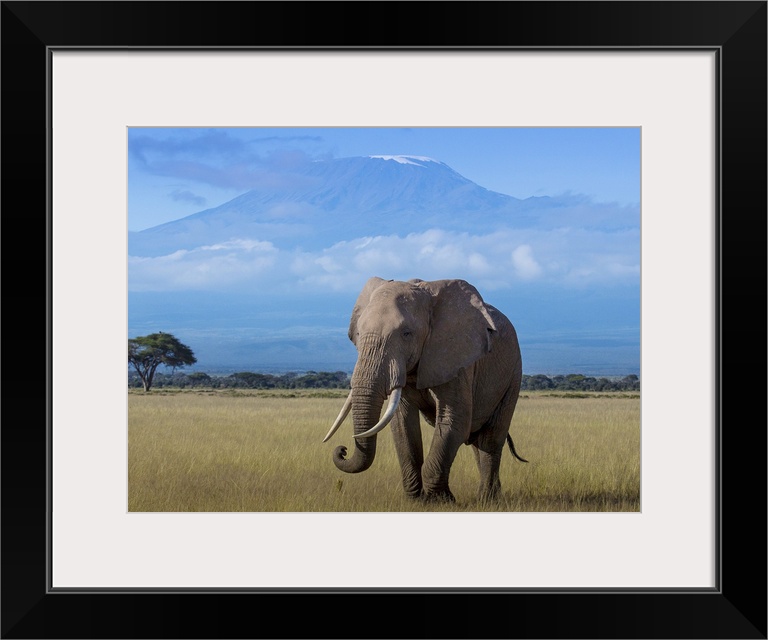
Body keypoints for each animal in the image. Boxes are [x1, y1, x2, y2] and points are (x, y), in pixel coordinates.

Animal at [324, 278, 528, 502]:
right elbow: (403, 424)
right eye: (358, 333)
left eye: (406, 334)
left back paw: (486, 499)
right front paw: (416, 500)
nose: (342, 450)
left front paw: (441, 501)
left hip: (513, 373)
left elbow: (454, 420)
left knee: (491, 438)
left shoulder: (455, 357)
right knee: (477, 440)